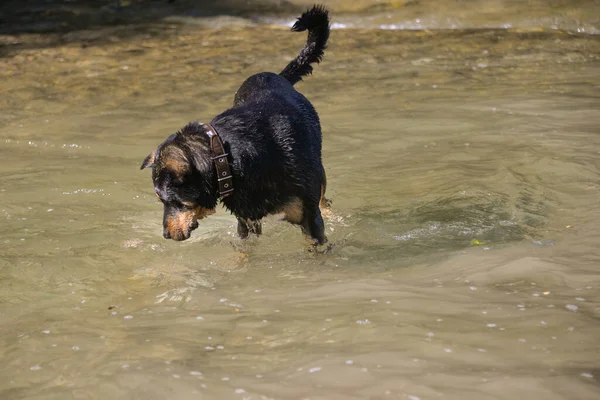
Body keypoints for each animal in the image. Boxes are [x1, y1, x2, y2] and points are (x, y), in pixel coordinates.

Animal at [140, 5, 330, 244]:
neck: (227, 158)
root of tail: (278, 77)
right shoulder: (246, 220)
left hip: (320, 177)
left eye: (169, 200)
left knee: (325, 198)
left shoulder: (310, 220)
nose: (165, 235)